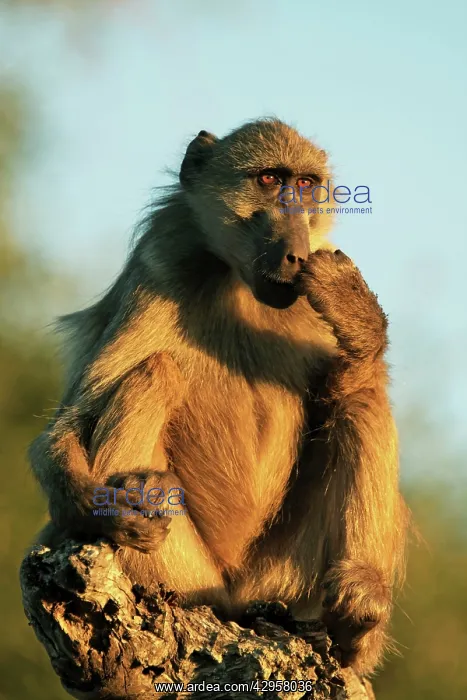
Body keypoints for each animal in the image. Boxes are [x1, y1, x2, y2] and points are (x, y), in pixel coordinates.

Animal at [28, 118, 408, 676]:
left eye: (305, 185)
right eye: (269, 180)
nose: (296, 251)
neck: (236, 282)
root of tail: (231, 597)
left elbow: (341, 391)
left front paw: (359, 320)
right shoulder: (159, 268)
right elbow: (67, 425)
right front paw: (105, 511)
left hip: (281, 574)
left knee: (363, 398)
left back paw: (358, 617)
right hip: (186, 568)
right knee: (156, 371)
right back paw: (140, 501)